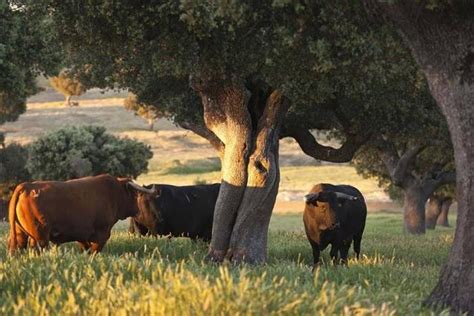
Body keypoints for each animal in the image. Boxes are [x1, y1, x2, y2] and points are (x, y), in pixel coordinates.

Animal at [7, 173, 156, 254]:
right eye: (135, 195)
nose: (137, 210)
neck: (114, 193)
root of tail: (27, 186)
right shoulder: (102, 233)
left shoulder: (82, 236)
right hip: (40, 236)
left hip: (21, 234)